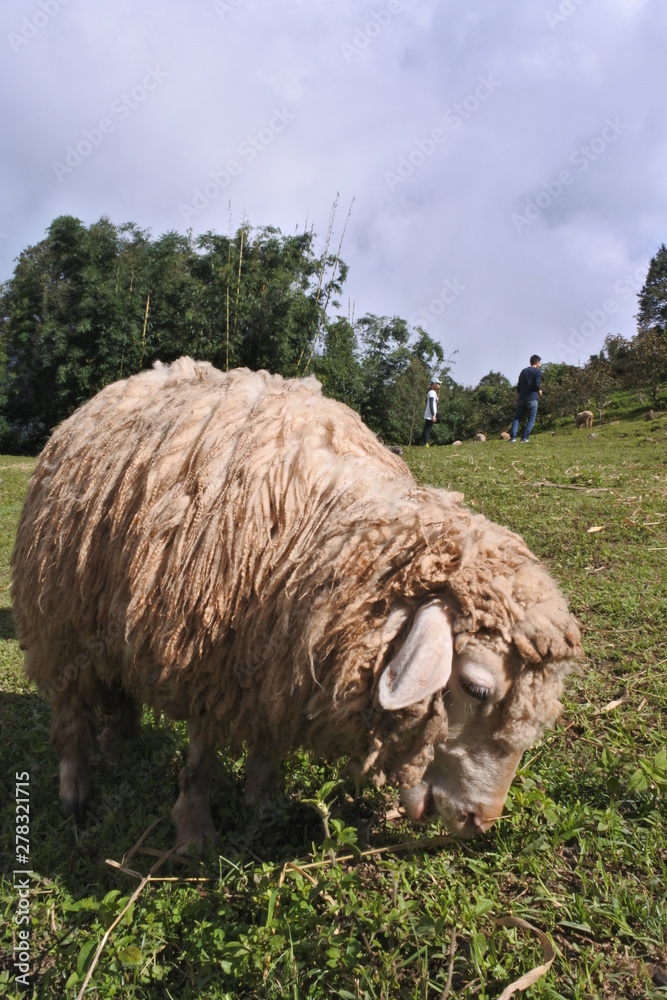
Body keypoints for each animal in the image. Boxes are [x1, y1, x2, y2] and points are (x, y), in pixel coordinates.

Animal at [12, 358, 583, 849]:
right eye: (476, 688)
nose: (480, 820)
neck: (330, 537)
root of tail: (124, 384)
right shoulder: (205, 657)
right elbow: (200, 760)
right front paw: (195, 832)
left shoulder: (278, 654)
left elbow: (267, 742)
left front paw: (262, 803)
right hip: (58, 617)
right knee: (69, 708)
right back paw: (75, 790)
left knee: (114, 689)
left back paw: (119, 743)